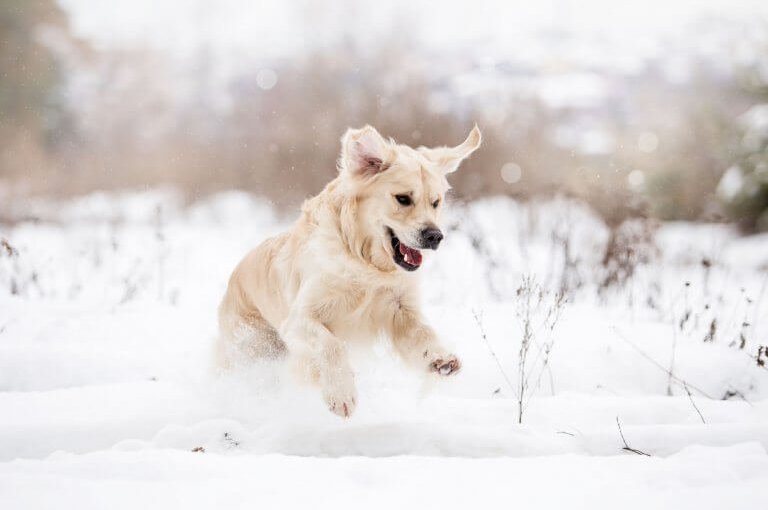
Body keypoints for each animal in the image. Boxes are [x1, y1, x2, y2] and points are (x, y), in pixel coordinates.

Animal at [216, 124, 480, 418]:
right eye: (403, 199)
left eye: (436, 202)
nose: (435, 236)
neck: (367, 264)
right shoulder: (299, 319)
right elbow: (332, 344)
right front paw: (341, 394)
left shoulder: (399, 309)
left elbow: (423, 331)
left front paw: (440, 358)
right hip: (249, 348)